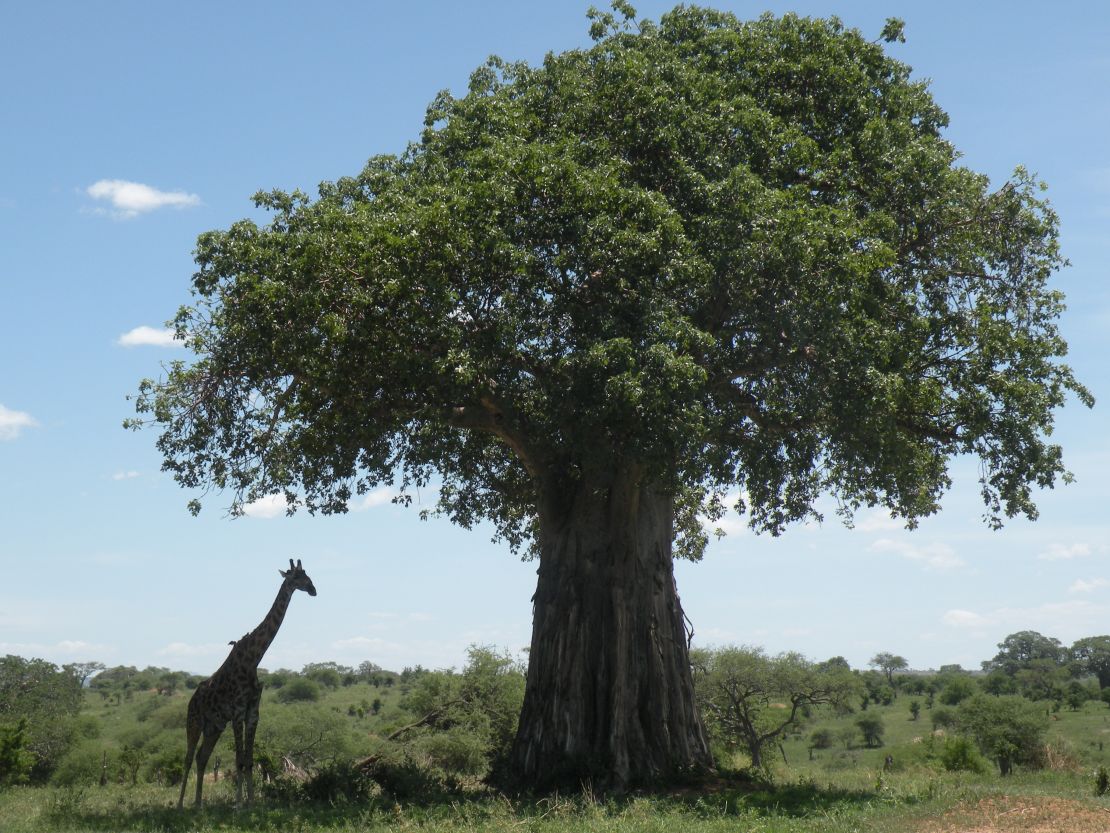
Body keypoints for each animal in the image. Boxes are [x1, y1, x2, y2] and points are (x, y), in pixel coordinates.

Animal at [176, 561, 317, 808]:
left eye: (307, 575)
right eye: (296, 577)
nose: (313, 589)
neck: (254, 658)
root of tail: (192, 700)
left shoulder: (253, 712)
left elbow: (249, 760)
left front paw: (252, 801)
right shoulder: (238, 712)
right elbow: (239, 759)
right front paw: (239, 804)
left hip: (214, 726)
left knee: (202, 757)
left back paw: (199, 803)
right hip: (194, 721)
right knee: (188, 757)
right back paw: (181, 803)